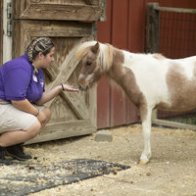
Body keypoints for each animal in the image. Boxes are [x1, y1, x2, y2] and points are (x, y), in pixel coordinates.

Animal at [66, 40, 195, 164]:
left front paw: (144, 158)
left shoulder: (146, 107)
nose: (81, 85)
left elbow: (146, 132)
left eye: (88, 62)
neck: (137, 71)